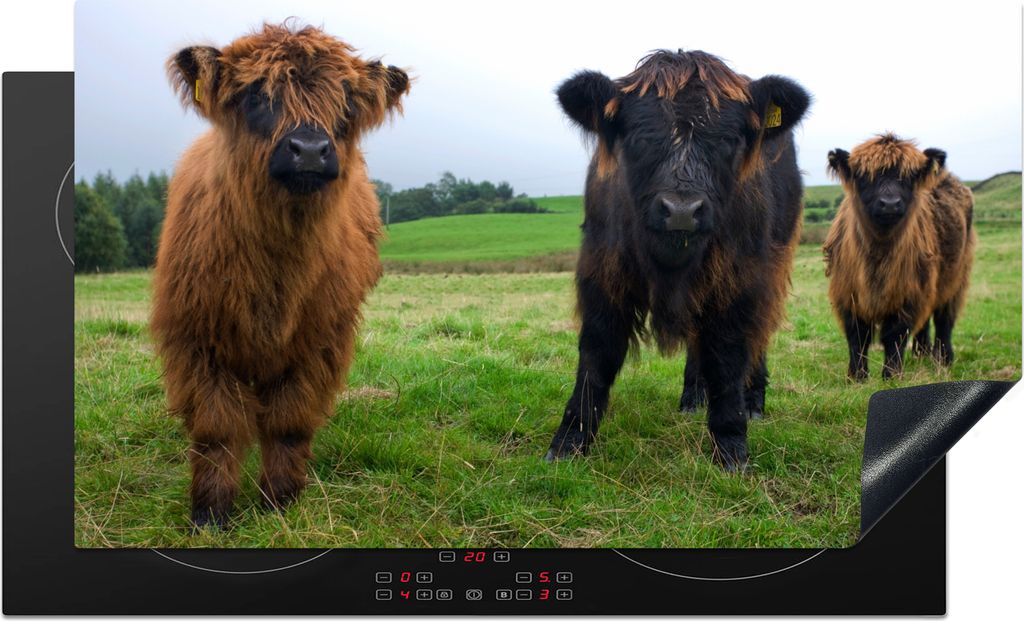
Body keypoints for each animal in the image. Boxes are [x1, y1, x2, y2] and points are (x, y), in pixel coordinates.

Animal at [151, 22, 409, 527]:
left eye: (346, 102)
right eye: (256, 94)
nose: (309, 150)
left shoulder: (318, 343)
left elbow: (289, 421)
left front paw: (280, 501)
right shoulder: (196, 340)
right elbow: (216, 428)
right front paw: (210, 512)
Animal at [547, 50, 810, 471]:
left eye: (729, 140)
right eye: (638, 137)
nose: (682, 211)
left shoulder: (740, 281)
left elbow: (729, 355)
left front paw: (731, 446)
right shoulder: (602, 273)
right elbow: (597, 354)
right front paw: (569, 441)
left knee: (759, 335)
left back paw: (754, 402)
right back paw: (692, 397)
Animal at [824, 134, 975, 379]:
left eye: (908, 177)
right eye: (865, 176)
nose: (890, 204)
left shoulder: (907, 292)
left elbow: (895, 334)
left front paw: (892, 375)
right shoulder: (848, 292)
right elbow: (858, 335)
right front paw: (857, 376)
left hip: (956, 275)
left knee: (944, 317)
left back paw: (943, 359)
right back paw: (921, 353)